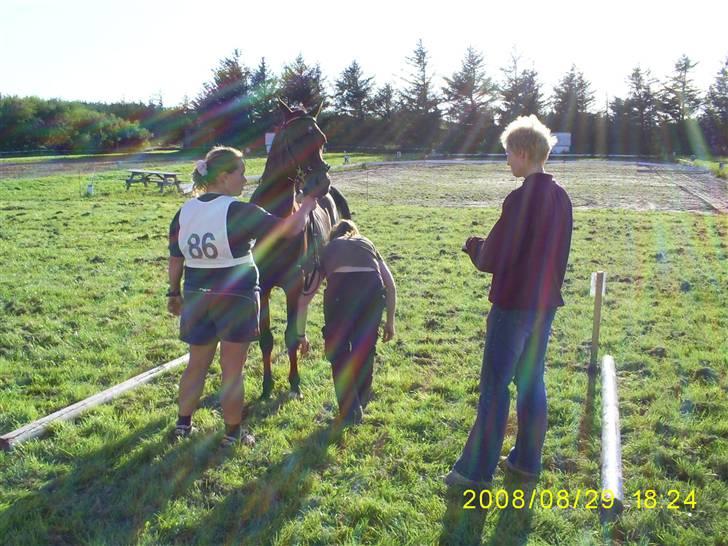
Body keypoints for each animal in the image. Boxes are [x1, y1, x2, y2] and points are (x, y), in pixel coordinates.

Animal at [252, 100, 352, 396]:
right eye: (296, 139)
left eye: (322, 140)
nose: (321, 184)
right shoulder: (264, 287)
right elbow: (266, 338)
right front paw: (267, 385)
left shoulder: (293, 283)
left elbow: (288, 338)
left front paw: (294, 382)